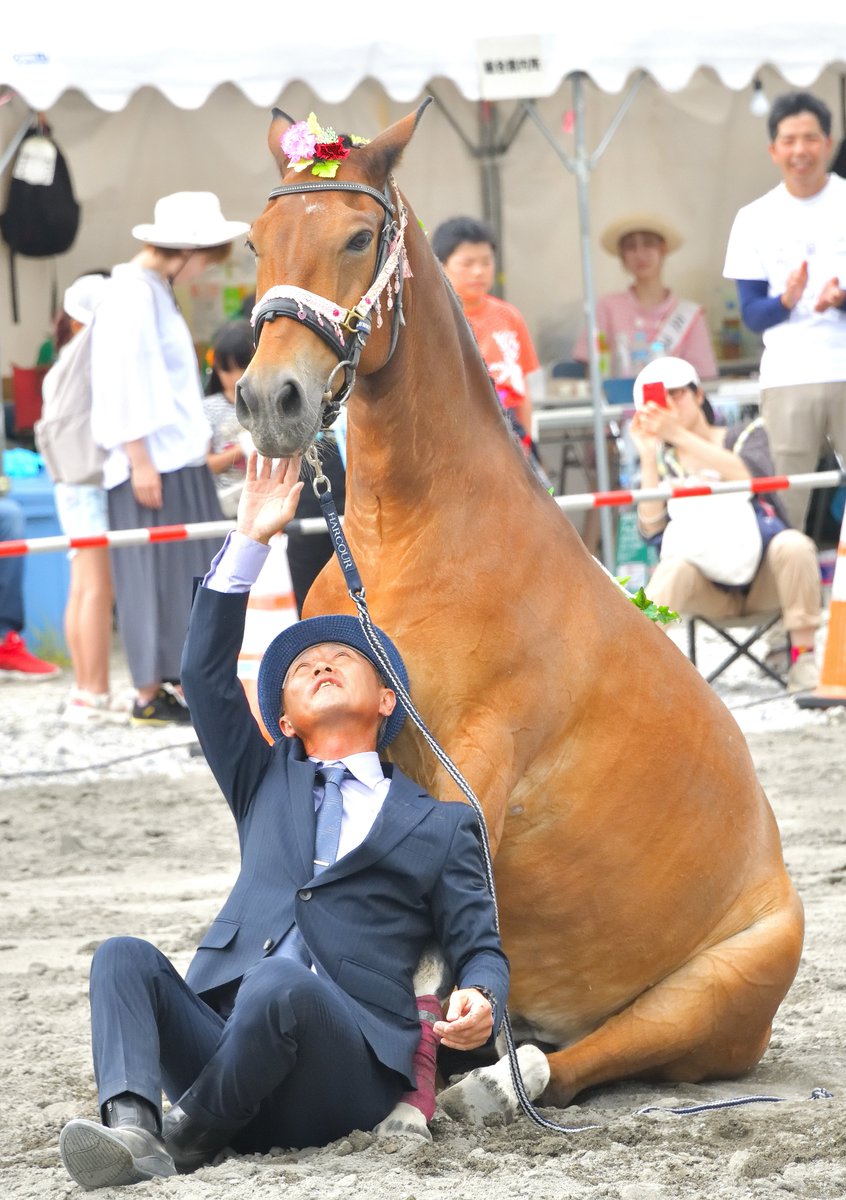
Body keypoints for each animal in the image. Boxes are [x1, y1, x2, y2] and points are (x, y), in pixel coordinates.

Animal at [236, 102, 804, 1111]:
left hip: (726, 983)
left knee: (597, 1053)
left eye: (357, 236)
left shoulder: (473, 770)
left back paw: (506, 1078)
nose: (271, 399)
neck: (410, 538)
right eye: (258, 241)